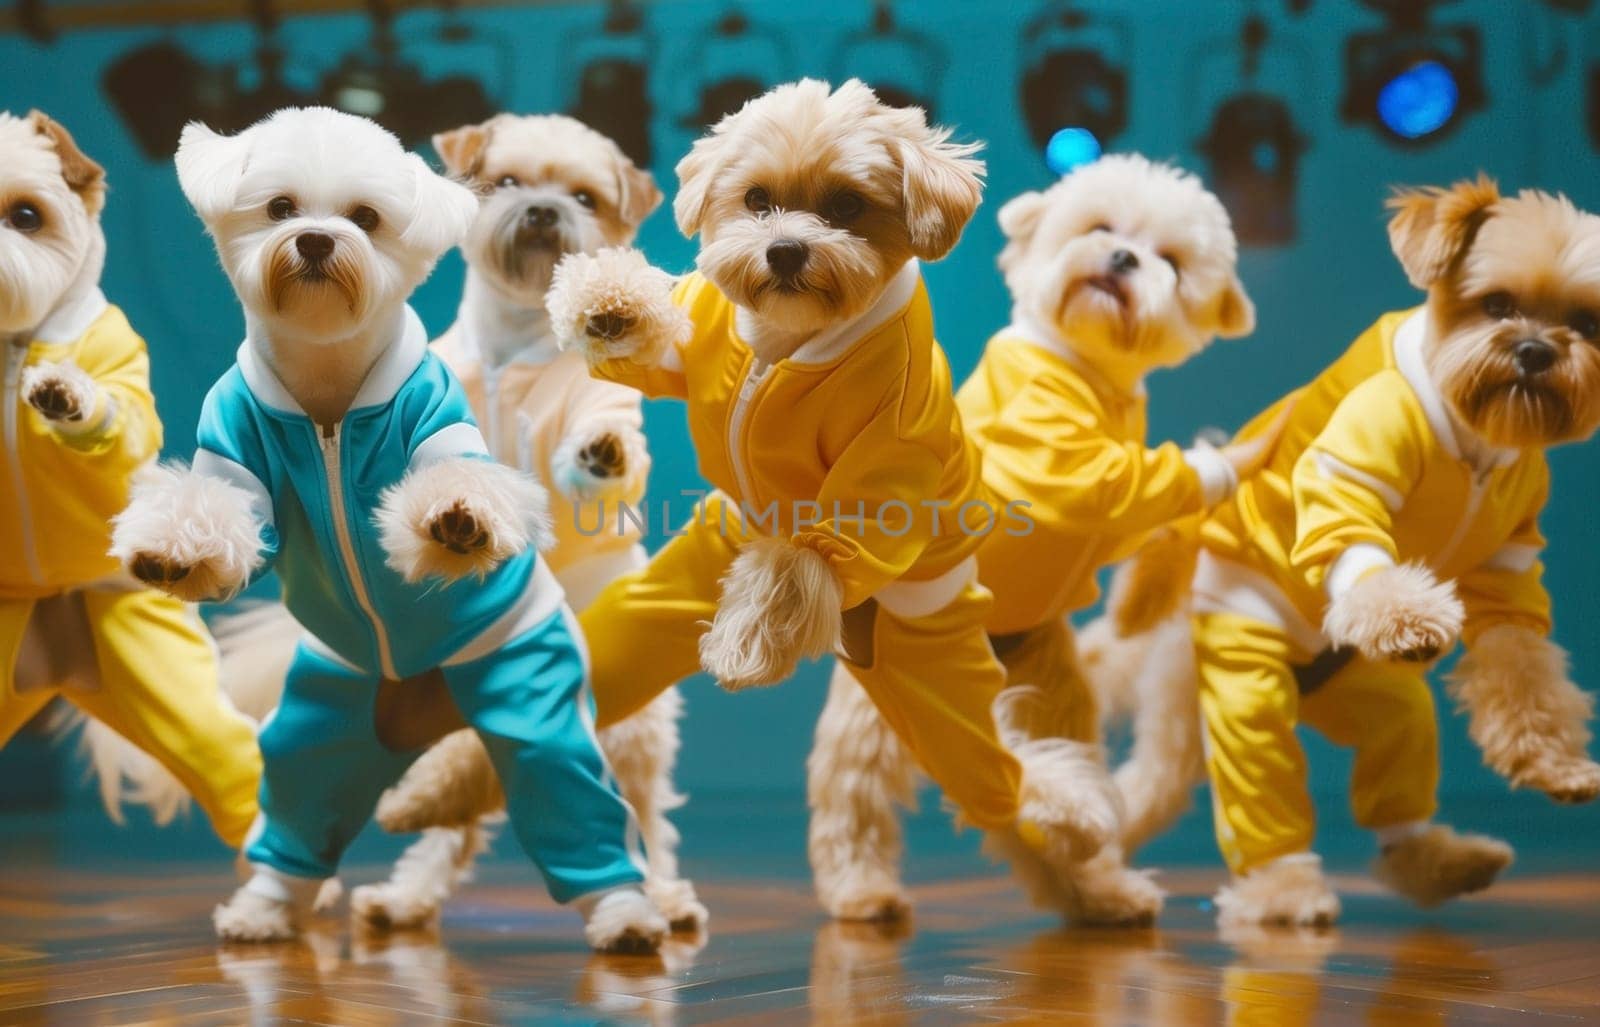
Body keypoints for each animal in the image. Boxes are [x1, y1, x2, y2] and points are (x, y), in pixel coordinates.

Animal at [0, 110, 264, 844]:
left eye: (25, 216)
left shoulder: (119, 360)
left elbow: (121, 423)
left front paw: (65, 396)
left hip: (148, 648)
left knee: (226, 756)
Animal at [109, 107, 665, 947]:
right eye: (280, 208)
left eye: (365, 219)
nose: (315, 239)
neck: (327, 395)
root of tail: (425, 700)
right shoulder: (233, 452)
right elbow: (221, 512)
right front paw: (171, 549)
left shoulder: (441, 423)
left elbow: (462, 480)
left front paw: (460, 523)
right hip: (327, 716)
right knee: (302, 805)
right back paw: (270, 906)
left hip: (528, 689)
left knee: (572, 793)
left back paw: (628, 911)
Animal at [350, 115, 707, 934]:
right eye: (508, 181)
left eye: (585, 197)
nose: (544, 210)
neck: (512, 344)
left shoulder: (600, 412)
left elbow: (598, 452)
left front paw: (599, 454)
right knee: (453, 807)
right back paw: (405, 892)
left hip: (633, 729)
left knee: (644, 810)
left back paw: (665, 894)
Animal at [806, 155, 1267, 921]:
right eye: (1101, 226)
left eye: (1171, 262)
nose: (1122, 258)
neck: (1090, 372)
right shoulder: (1059, 462)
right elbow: (1132, 479)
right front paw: (1226, 462)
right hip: (877, 715)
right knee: (855, 795)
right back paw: (861, 889)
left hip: (1053, 698)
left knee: (1030, 784)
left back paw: (1097, 886)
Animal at [1088, 177, 1600, 927]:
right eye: (1497, 304)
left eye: (1586, 324)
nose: (1535, 350)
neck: (1477, 436)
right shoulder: (1351, 470)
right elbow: (1354, 543)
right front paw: (1407, 618)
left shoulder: (1507, 570)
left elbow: (1522, 666)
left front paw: (1555, 763)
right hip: (1241, 681)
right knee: (1254, 779)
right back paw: (1280, 891)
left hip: (1369, 700)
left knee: (1396, 758)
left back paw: (1438, 858)